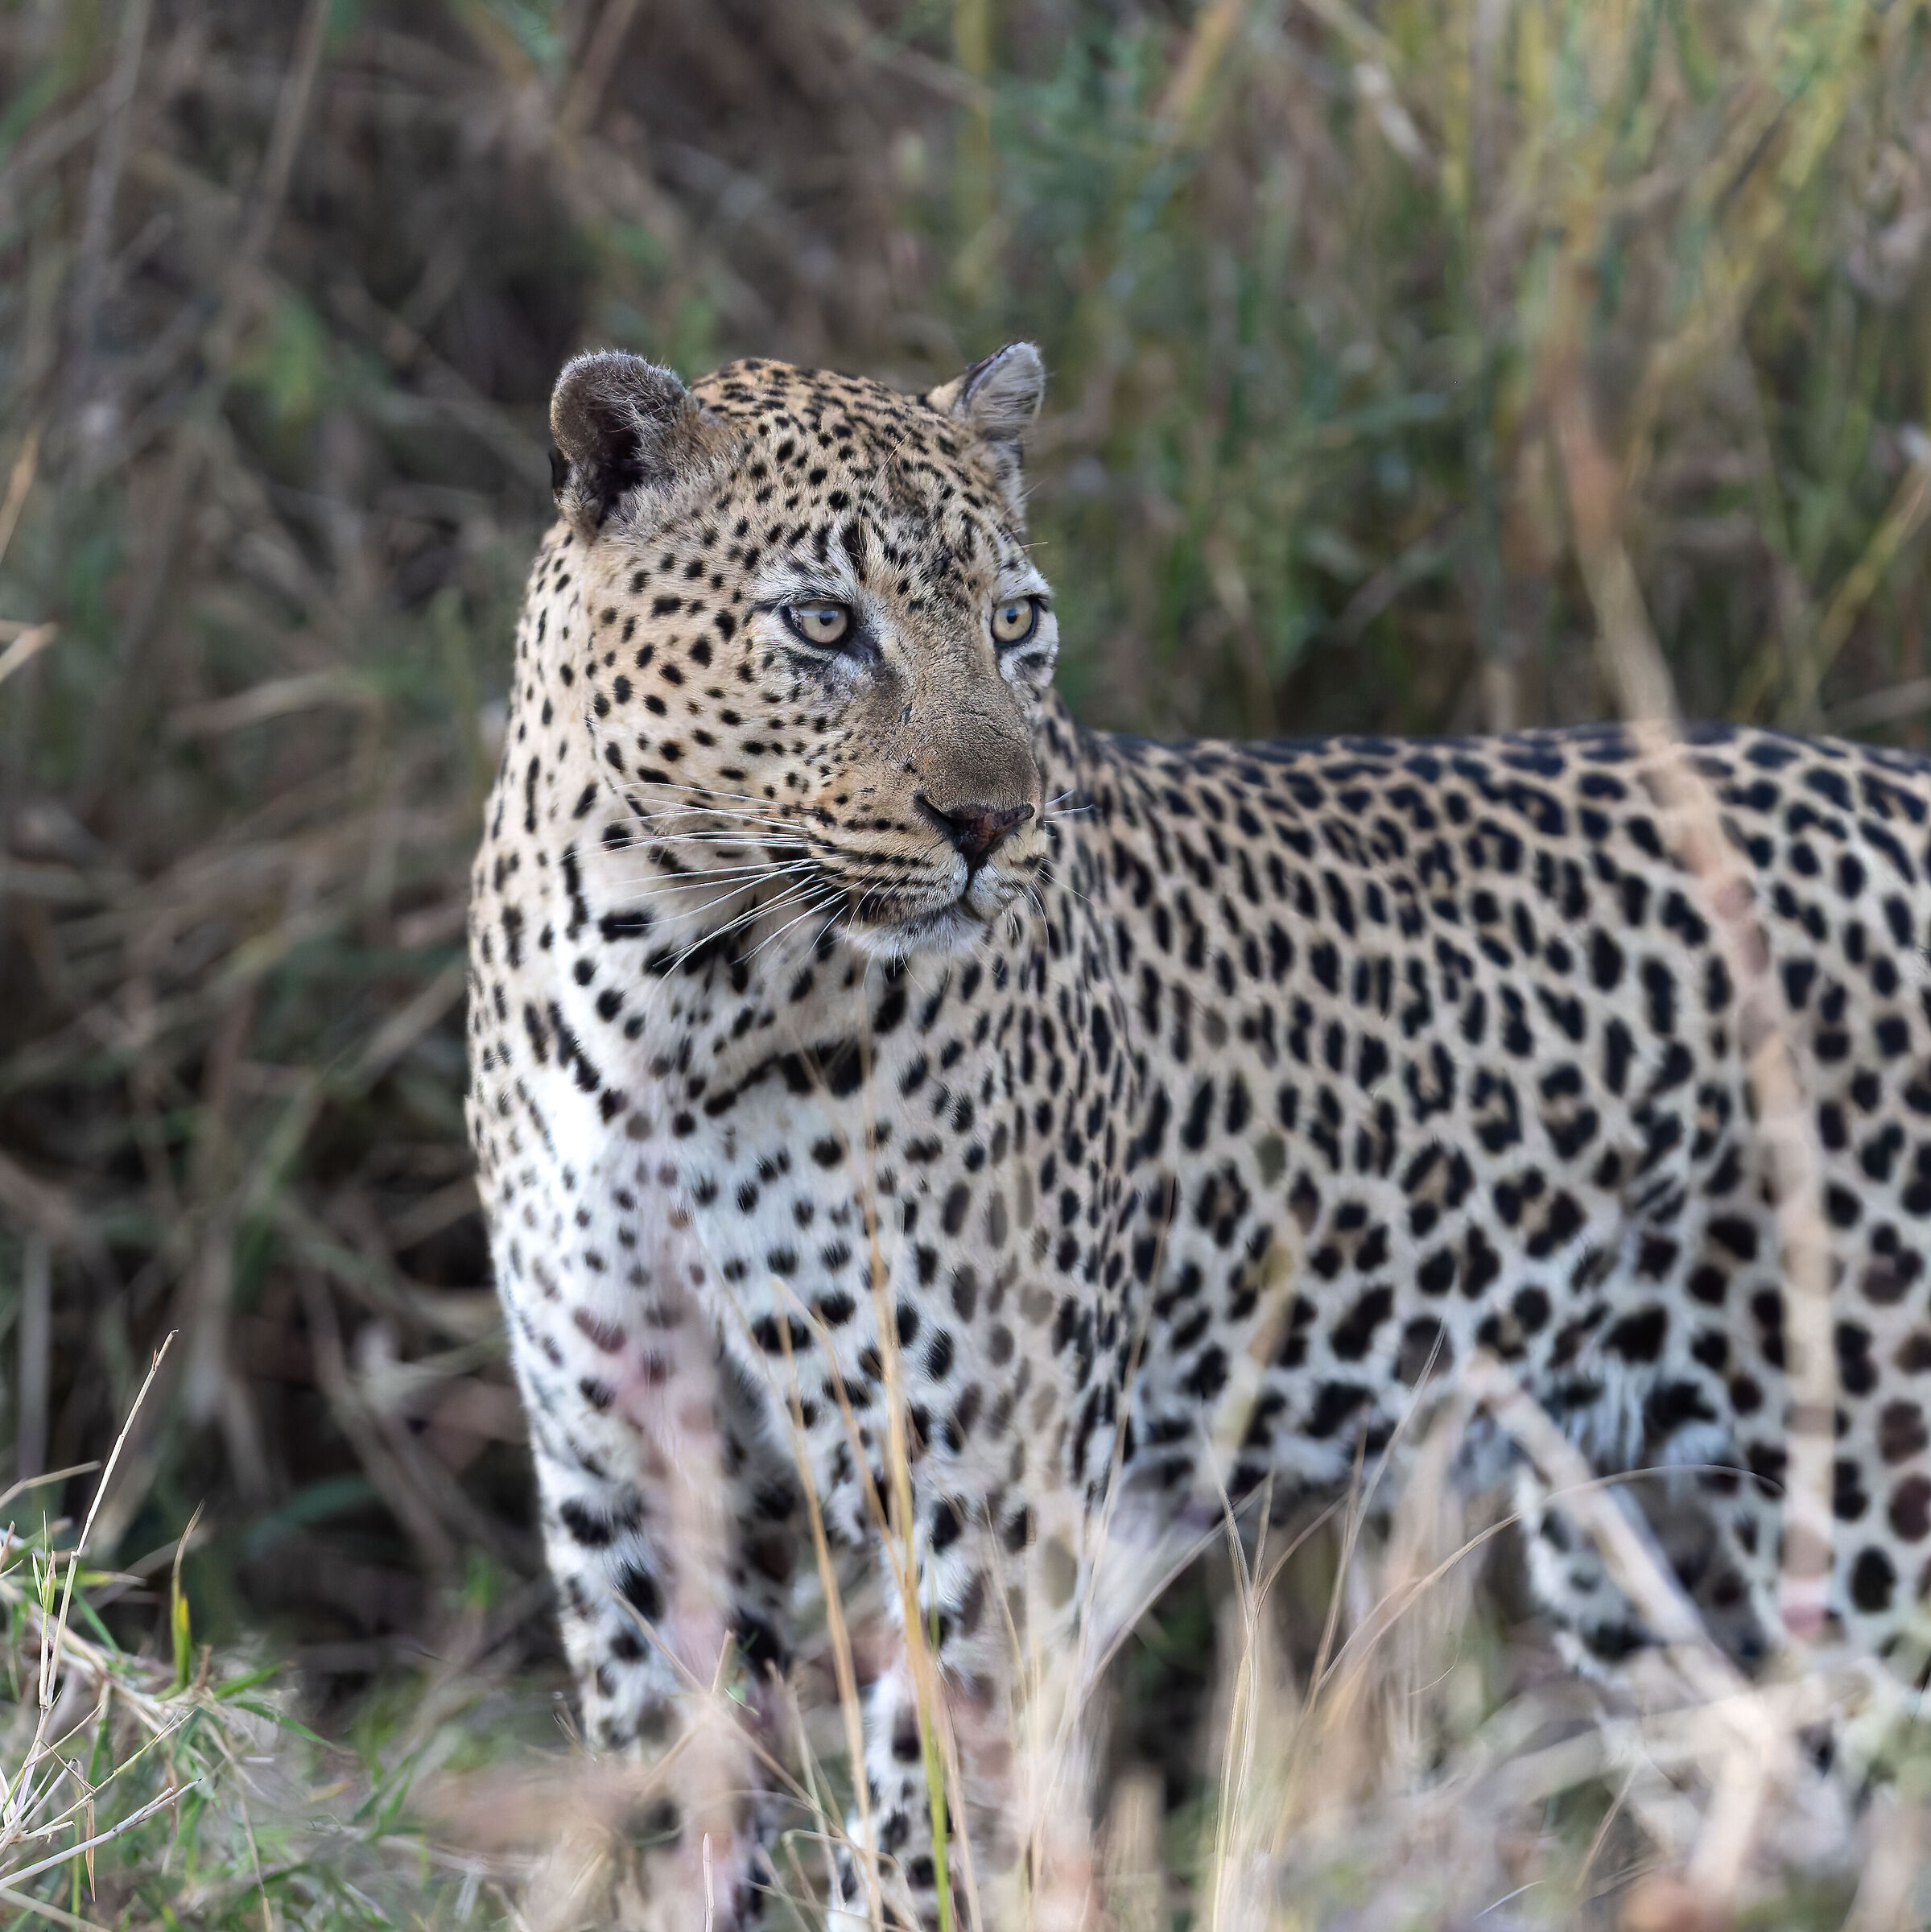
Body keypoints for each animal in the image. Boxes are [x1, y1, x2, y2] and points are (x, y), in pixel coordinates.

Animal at [466, 340, 1931, 1929]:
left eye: (1012, 621)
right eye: (821, 622)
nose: (991, 823)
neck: (670, 982)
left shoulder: (990, 1497)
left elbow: (927, 1822)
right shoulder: (625, 1461)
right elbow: (671, 1806)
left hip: (1873, 1512)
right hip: (1659, 1564)